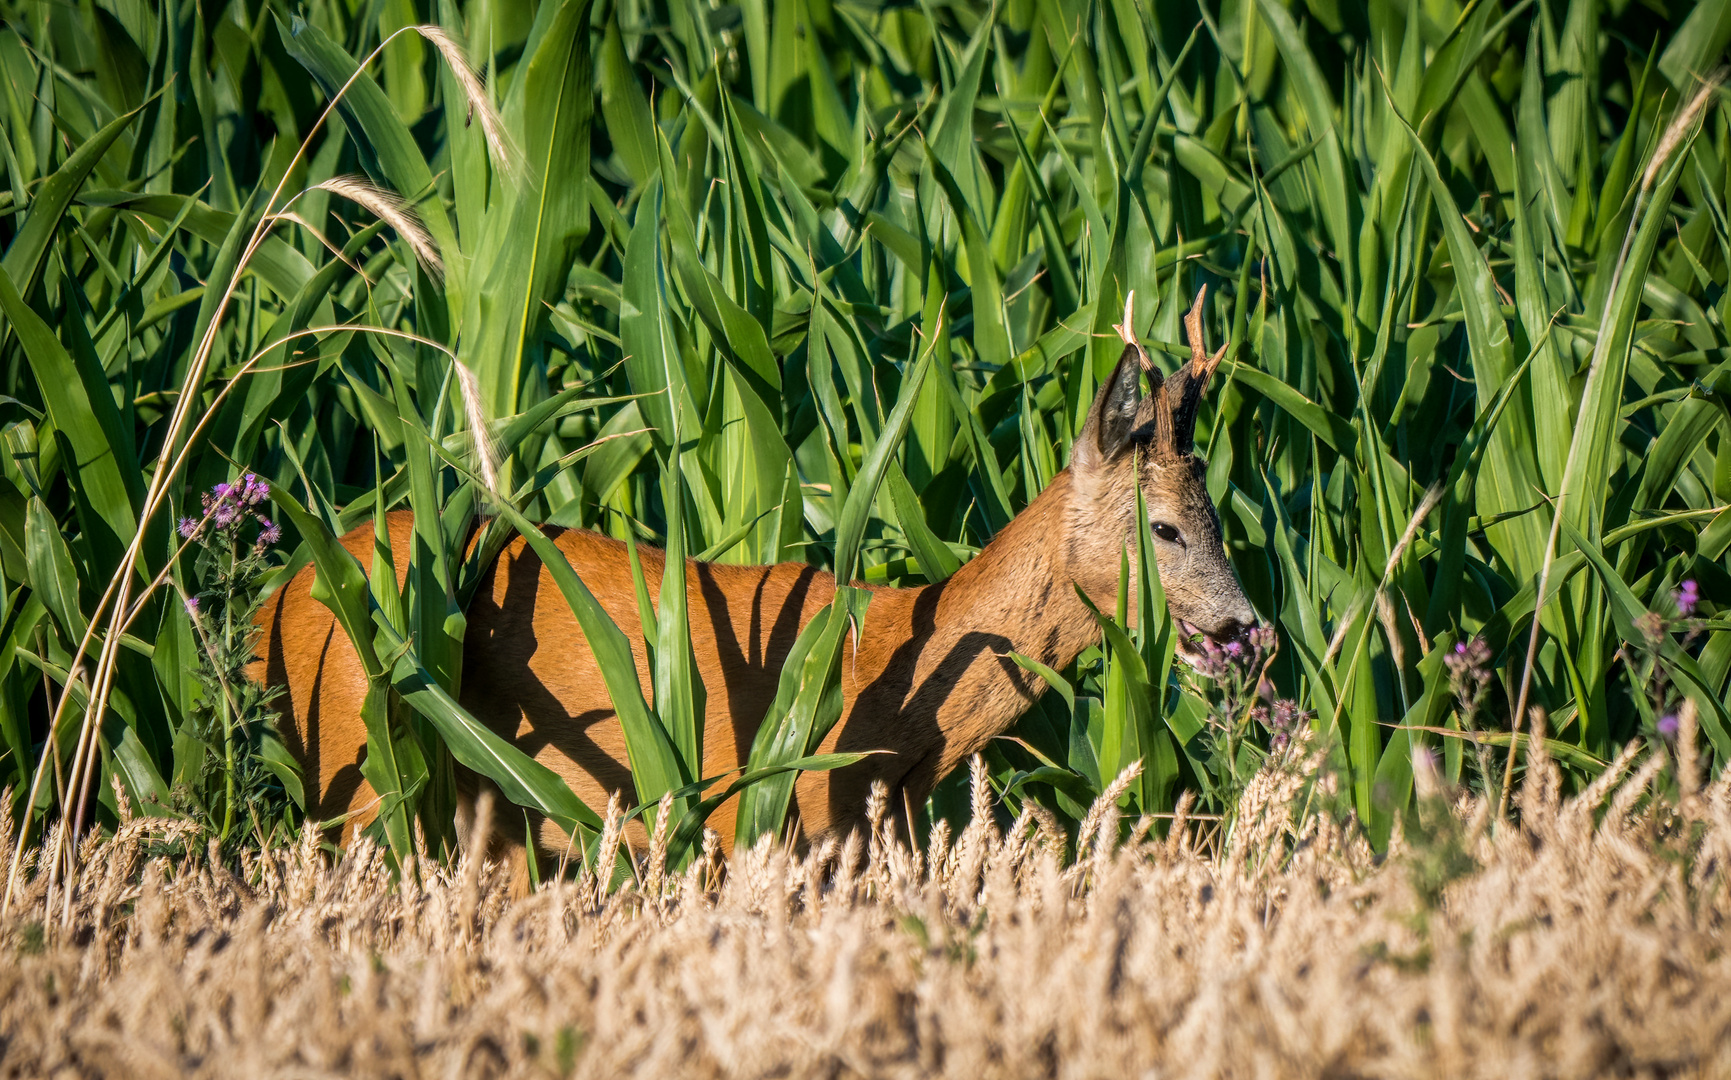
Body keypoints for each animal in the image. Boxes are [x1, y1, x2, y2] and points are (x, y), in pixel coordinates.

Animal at [250, 289, 1260, 879]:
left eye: (1218, 515)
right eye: (1163, 528)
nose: (1248, 628)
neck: (893, 683)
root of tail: (276, 597)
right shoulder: (755, 819)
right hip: (353, 760)